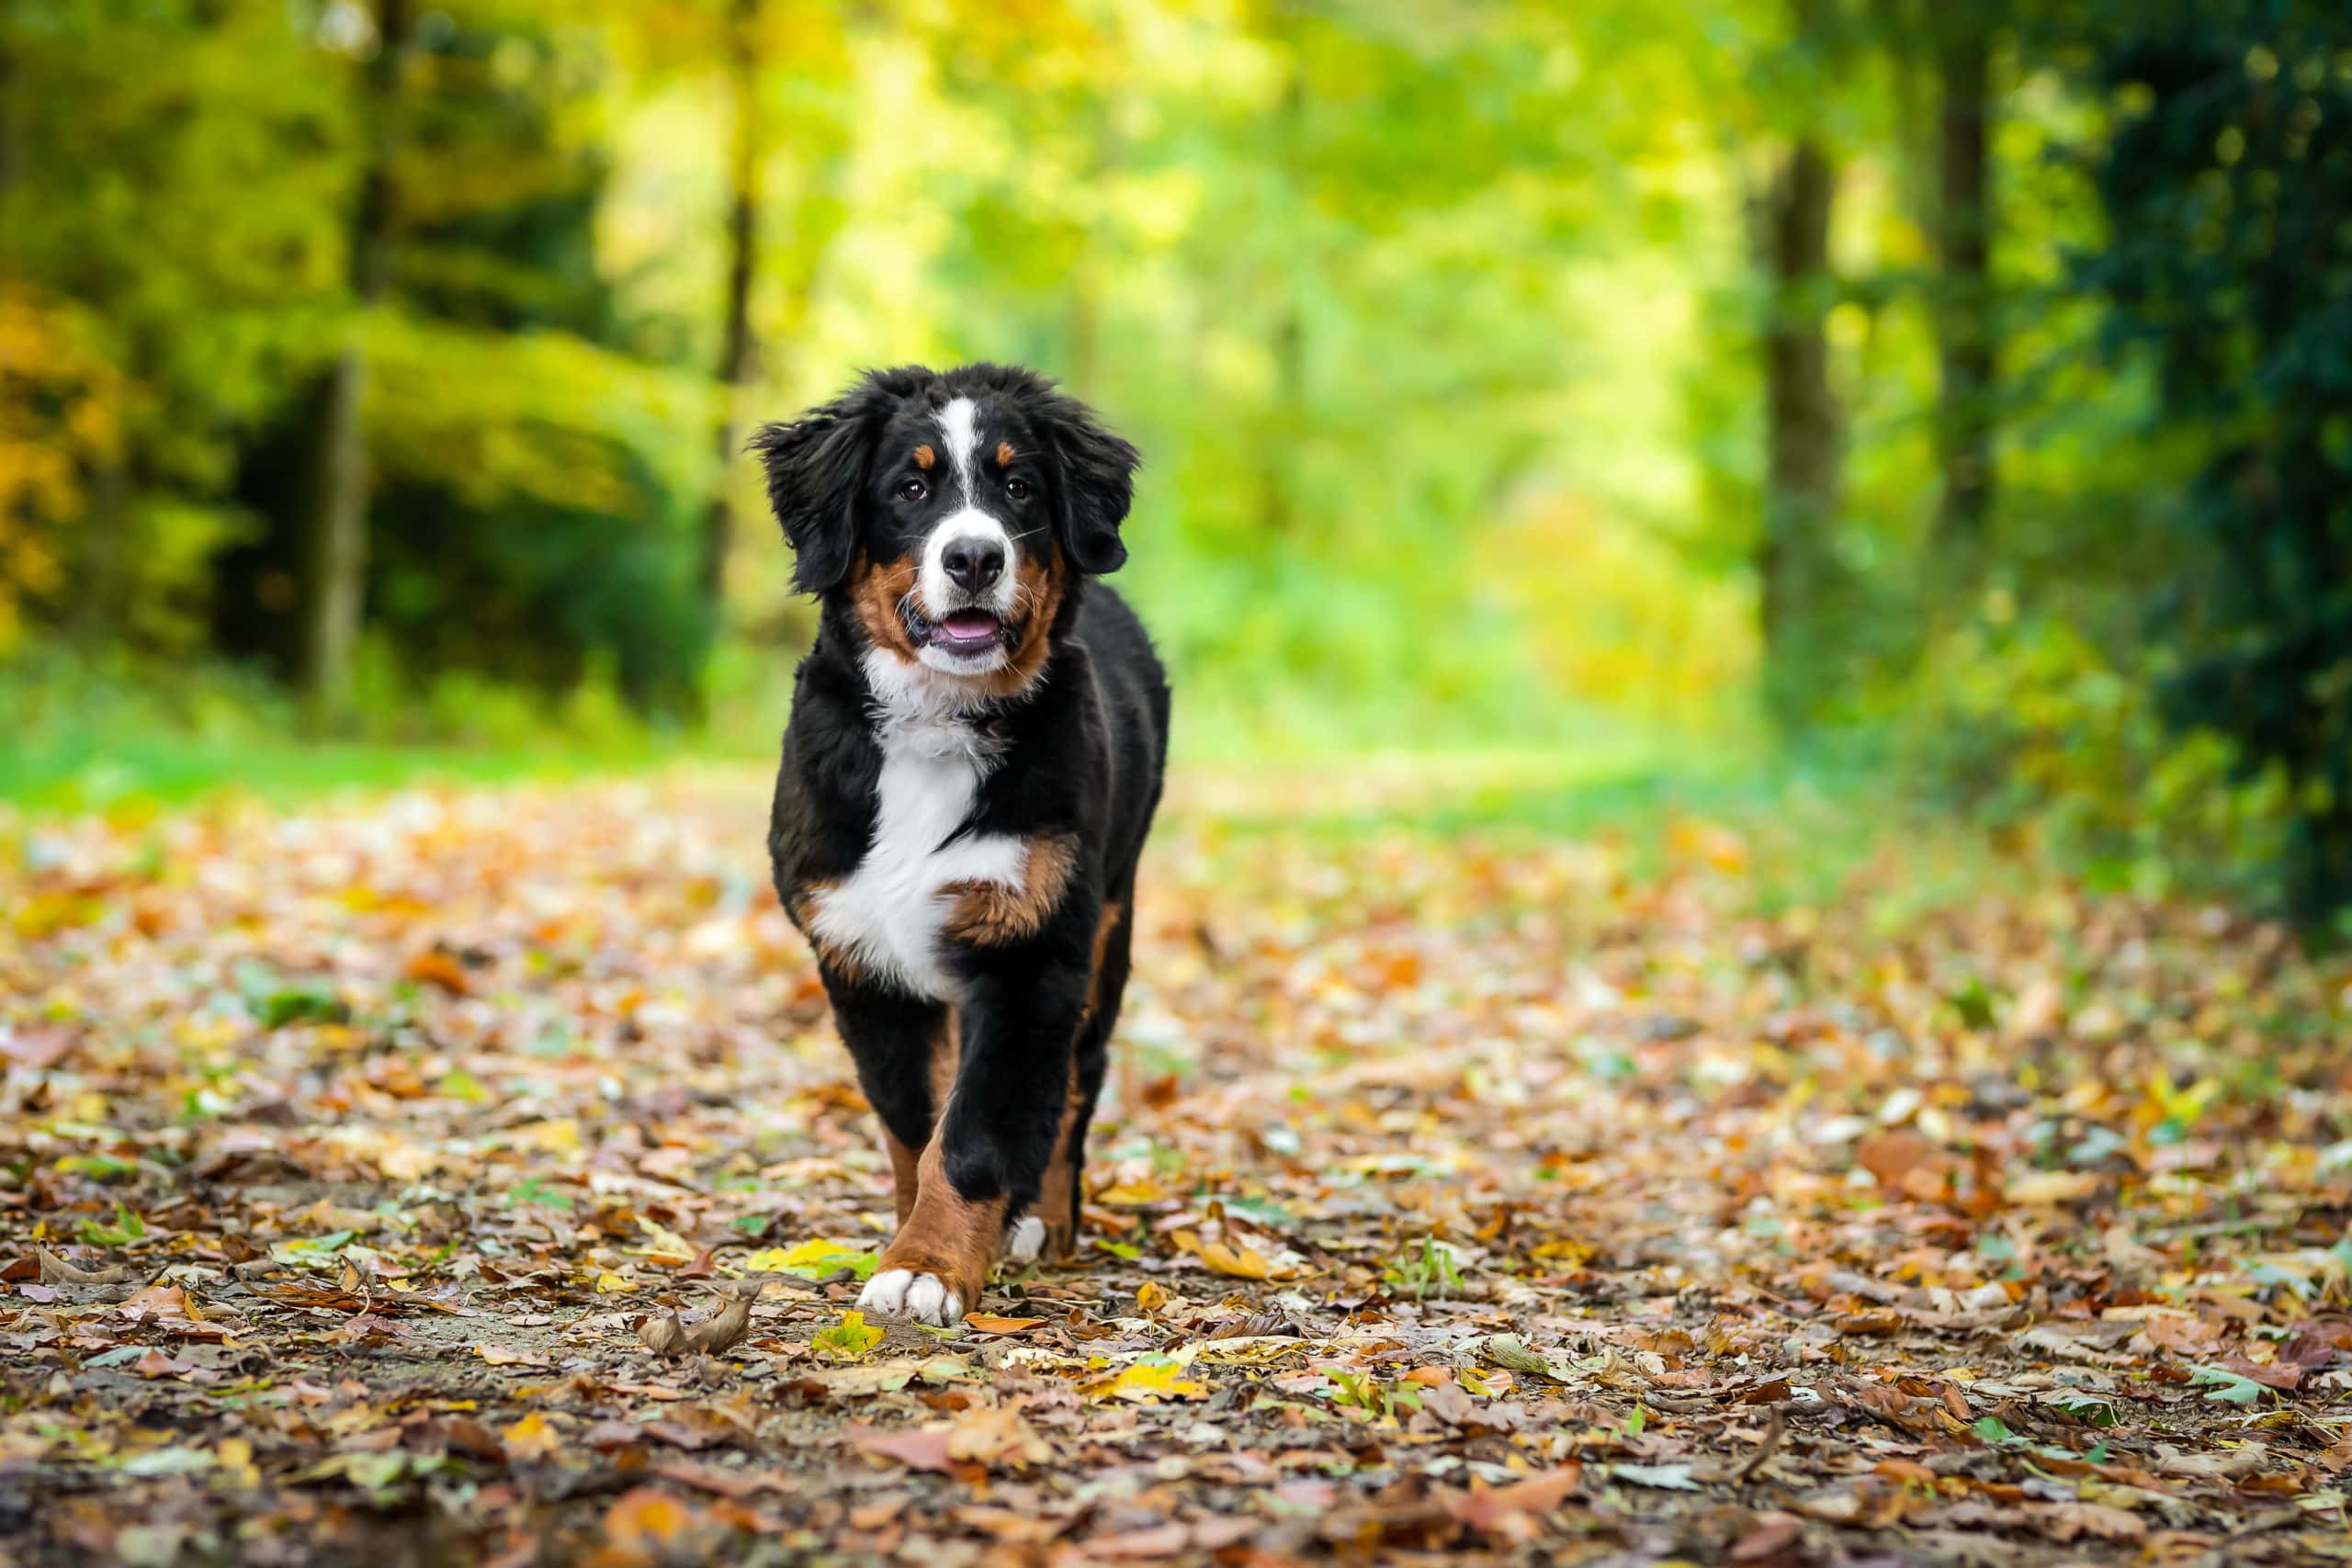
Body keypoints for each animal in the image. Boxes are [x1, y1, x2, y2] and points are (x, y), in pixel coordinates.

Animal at [757, 364, 1170, 1325]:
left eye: (1018, 487)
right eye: (910, 490)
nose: (976, 558)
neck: (935, 729)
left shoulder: (1033, 954)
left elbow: (976, 1130)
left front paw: (932, 1267)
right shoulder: (862, 958)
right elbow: (917, 1125)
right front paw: (913, 1243)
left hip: (1109, 926)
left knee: (1072, 1088)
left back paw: (1044, 1224)